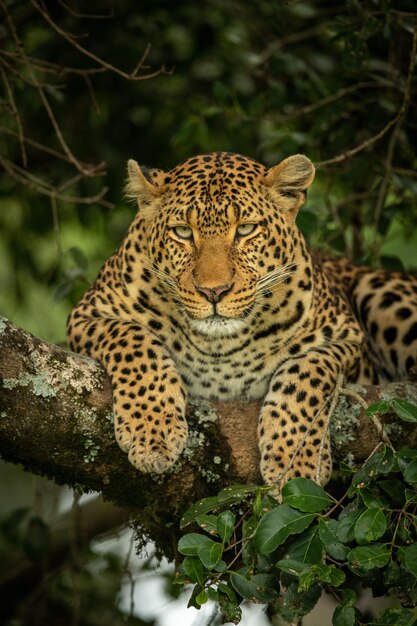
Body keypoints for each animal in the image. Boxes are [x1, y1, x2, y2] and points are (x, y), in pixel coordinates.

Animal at [65, 151, 416, 492]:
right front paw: (152, 432)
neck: (219, 346)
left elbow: (306, 374)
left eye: (246, 229)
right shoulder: (86, 314)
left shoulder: (346, 336)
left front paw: (294, 462)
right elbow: (133, 340)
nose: (214, 291)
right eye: (182, 232)